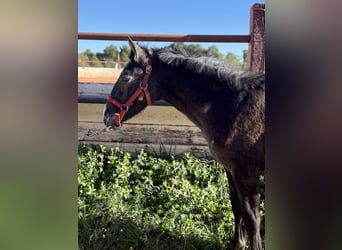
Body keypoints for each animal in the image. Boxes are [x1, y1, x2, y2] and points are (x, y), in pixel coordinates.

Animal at [102, 37, 264, 250]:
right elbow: (237, 209)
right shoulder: (231, 170)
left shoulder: (247, 173)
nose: (107, 117)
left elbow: (252, 219)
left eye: (125, 79)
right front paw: (238, 245)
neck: (234, 107)